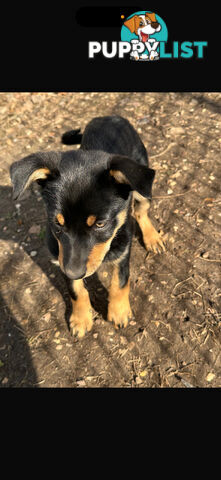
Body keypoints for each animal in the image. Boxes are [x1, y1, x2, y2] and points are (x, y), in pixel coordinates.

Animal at [10, 115, 166, 338]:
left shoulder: (122, 248)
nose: (74, 272)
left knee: (140, 211)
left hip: (142, 188)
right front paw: (81, 318)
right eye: (57, 222)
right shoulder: (61, 257)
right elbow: (76, 290)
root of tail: (109, 117)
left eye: (100, 224)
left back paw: (152, 238)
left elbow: (120, 281)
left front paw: (119, 312)